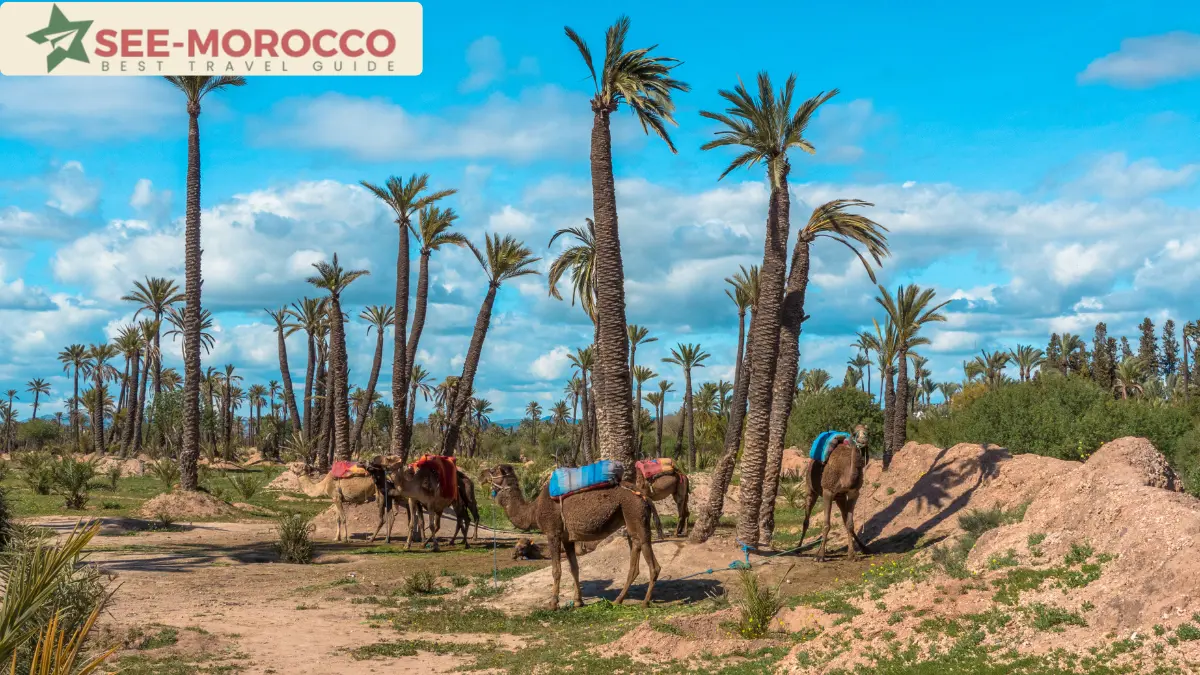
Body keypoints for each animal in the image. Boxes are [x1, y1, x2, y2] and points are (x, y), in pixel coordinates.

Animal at [480, 464, 660, 610]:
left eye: (493, 470)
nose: (481, 475)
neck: (533, 511)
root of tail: (645, 496)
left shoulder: (552, 533)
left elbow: (556, 570)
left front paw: (553, 603)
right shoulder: (567, 538)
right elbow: (574, 568)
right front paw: (578, 601)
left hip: (634, 512)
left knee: (651, 561)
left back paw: (644, 602)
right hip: (630, 519)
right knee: (635, 551)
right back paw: (619, 600)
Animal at [798, 425, 872, 561]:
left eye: (868, 432)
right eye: (854, 434)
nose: (863, 440)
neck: (845, 475)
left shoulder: (853, 493)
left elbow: (849, 524)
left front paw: (852, 555)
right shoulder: (828, 491)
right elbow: (826, 524)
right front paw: (820, 556)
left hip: (840, 498)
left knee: (844, 519)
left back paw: (863, 548)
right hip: (811, 490)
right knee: (806, 520)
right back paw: (799, 548)